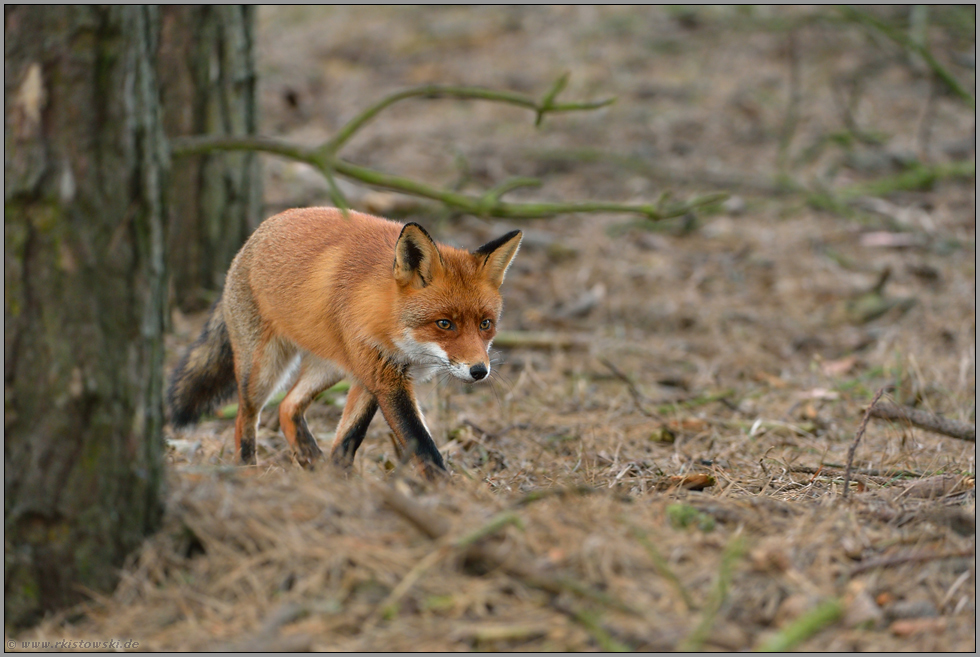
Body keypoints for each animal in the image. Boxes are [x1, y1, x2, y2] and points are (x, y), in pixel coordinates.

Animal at [168, 206, 520, 476]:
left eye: (486, 324)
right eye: (444, 324)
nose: (479, 371)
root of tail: (256, 234)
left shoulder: (371, 376)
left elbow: (348, 440)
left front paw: (338, 481)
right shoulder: (384, 379)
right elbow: (423, 445)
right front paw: (445, 493)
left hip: (331, 368)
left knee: (287, 406)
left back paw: (309, 459)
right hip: (262, 370)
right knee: (245, 418)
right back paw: (248, 472)